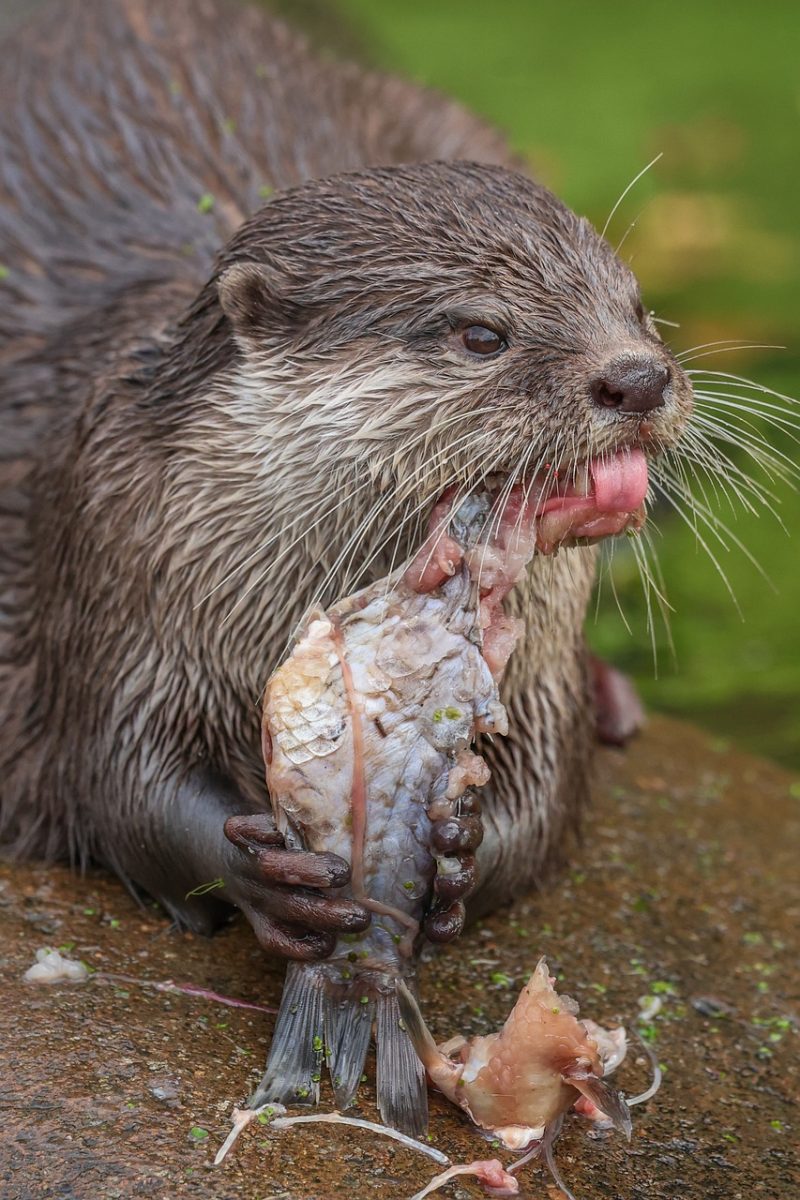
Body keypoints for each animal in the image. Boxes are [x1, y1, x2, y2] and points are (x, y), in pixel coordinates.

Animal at [0, 0, 692, 961]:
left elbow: (543, 804)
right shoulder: (111, 556)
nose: (637, 376)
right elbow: (119, 782)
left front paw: (461, 850)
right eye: (482, 333)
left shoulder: (538, 664)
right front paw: (262, 875)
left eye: (637, 307)